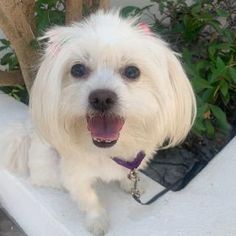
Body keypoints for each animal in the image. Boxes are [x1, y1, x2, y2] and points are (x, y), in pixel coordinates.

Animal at [3, 10, 195, 236]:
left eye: (132, 71)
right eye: (77, 69)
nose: (102, 98)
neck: (108, 151)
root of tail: (28, 132)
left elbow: (128, 175)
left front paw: (129, 184)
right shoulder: (76, 176)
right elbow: (89, 200)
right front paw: (98, 221)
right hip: (47, 161)